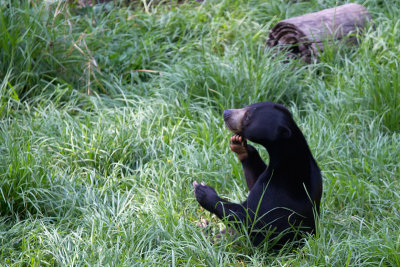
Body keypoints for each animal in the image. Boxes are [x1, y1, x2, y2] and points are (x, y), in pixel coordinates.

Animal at [193, 102, 322, 247]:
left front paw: (203, 190)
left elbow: (250, 219)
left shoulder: (277, 191)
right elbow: (254, 178)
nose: (225, 113)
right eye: (246, 107)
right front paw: (239, 145)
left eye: (247, 117)